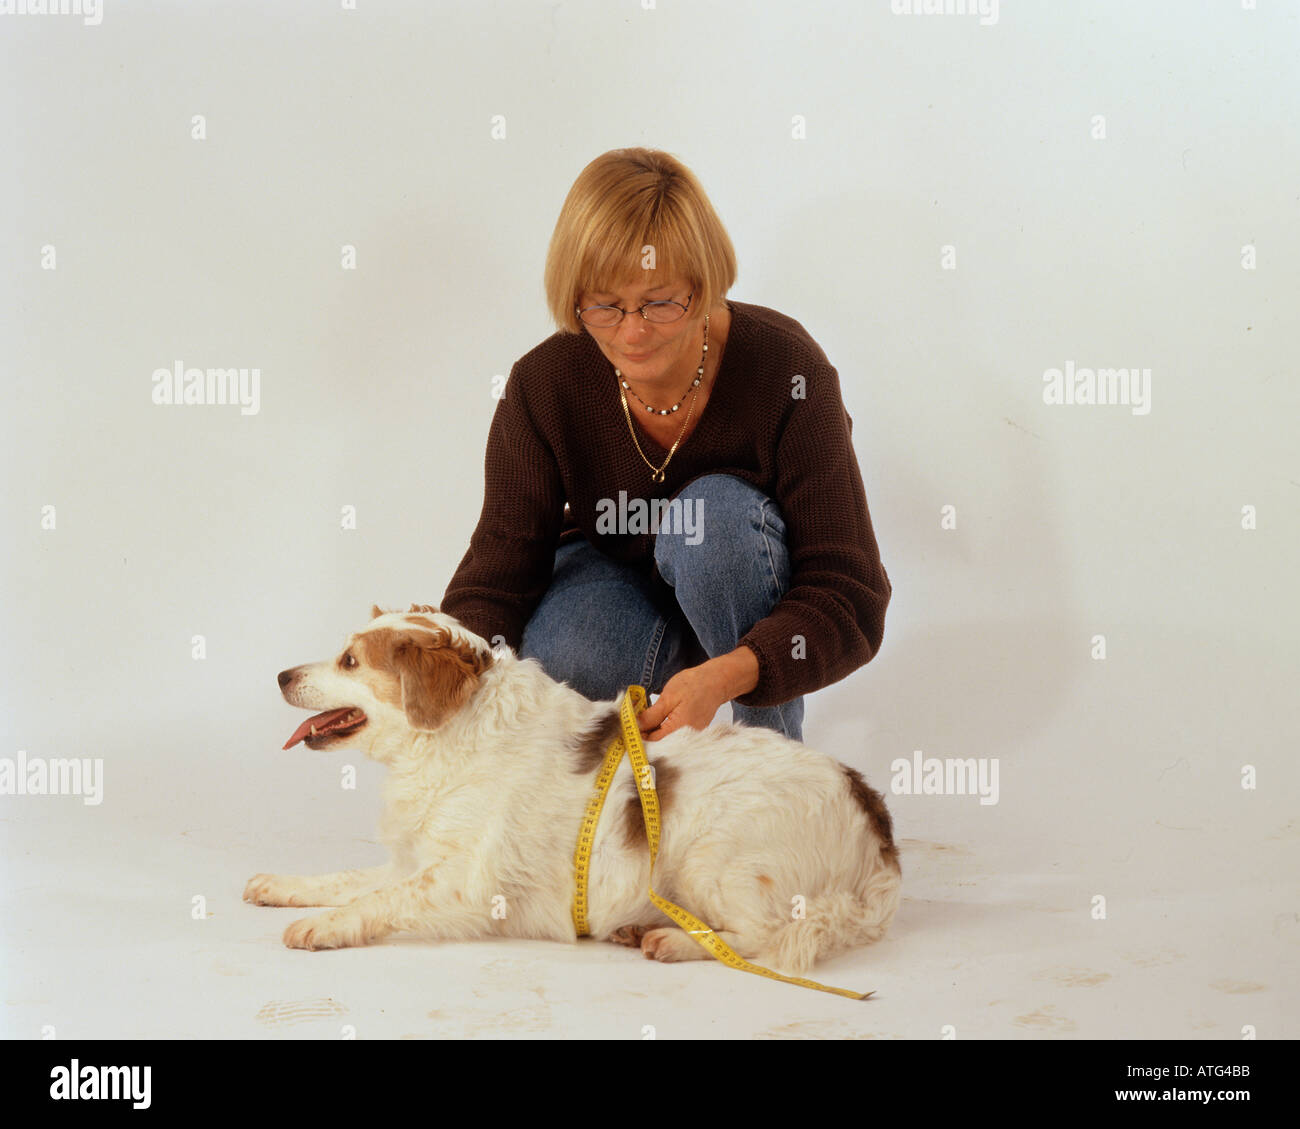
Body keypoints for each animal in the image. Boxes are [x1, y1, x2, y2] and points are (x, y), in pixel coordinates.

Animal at [244, 603, 899, 972]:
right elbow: (344, 880)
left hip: (714, 857)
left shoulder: (465, 882)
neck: (450, 741)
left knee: (766, 937)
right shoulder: (416, 860)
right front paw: (280, 885)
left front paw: (322, 928)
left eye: (350, 662)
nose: (279, 675)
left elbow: (374, 901)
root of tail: (876, 823)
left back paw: (671, 941)